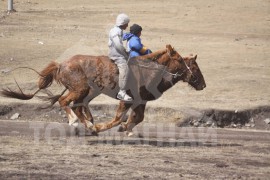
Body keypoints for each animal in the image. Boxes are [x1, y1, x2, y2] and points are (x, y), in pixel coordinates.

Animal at [1, 44, 206, 134]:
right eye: (192, 65)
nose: (203, 85)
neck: (148, 71)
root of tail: (61, 65)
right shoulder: (128, 99)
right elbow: (118, 118)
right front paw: (107, 127)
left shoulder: (141, 101)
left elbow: (138, 117)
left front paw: (126, 128)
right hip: (81, 89)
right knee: (65, 101)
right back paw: (78, 122)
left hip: (88, 91)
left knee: (78, 105)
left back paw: (88, 124)